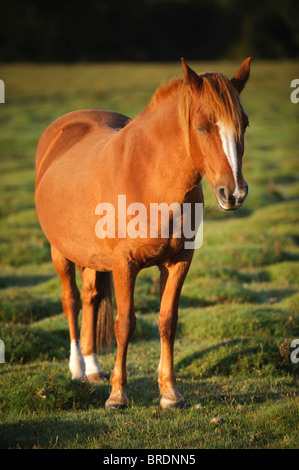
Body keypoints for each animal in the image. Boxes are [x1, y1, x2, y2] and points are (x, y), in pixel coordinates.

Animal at [34, 57, 253, 408]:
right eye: (203, 126)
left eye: (243, 124)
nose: (233, 193)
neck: (151, 176)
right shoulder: (125, 264)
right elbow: (125, 324)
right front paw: (117, 395)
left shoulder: (179, 261)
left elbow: (167, 321)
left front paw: (170, 393)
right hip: (60, 251)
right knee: (72, 300)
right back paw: (77, 368)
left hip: (92, 256)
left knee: (91, 297)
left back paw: (93, 366)